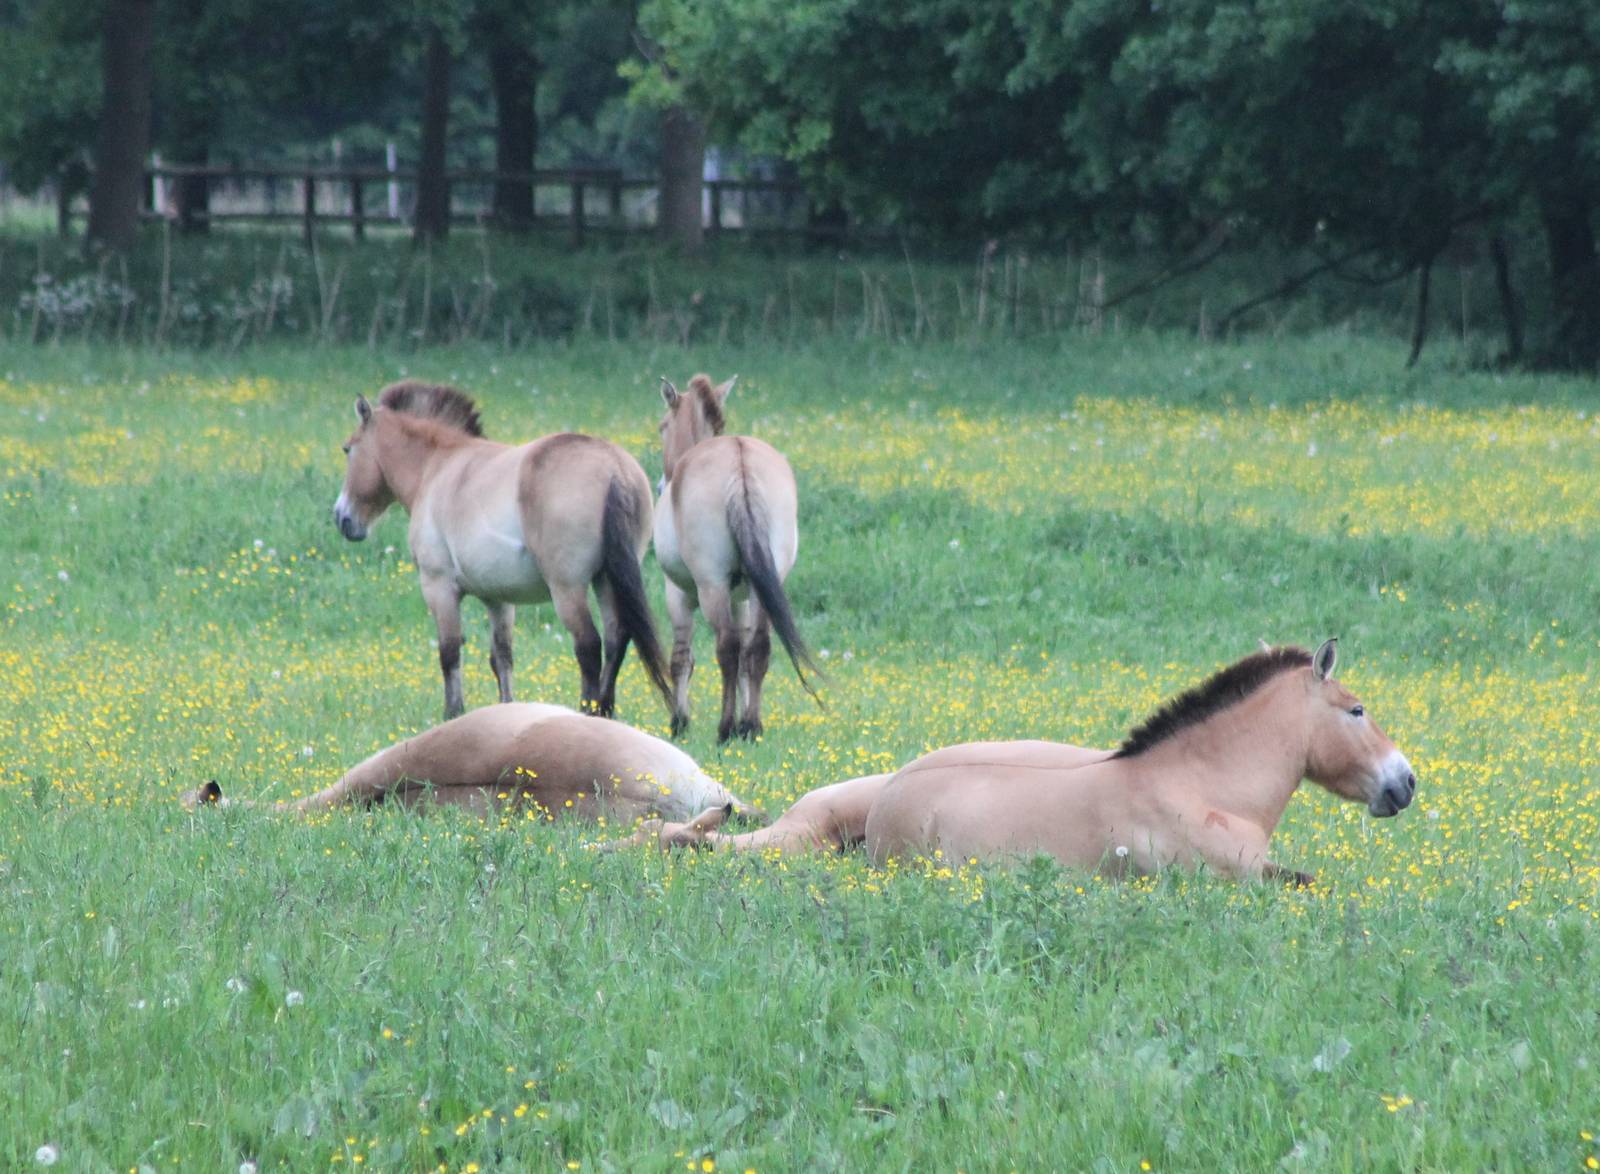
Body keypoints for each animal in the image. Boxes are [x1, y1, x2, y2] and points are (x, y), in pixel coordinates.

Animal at [332, 380, 671, 720]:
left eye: (348, 449)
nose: (342, 518)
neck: (437, 467)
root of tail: (614, 469)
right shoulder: (498, 598)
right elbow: (502, 659)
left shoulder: (438, 586)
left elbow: (449, 653)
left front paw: (452, 713)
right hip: (606, 580)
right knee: (616, 640)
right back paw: (605, 712)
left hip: (568, 588)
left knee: (589, 646)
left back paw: (587, 712)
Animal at [653, 373, 820, 741]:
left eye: (662, 427)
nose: (659, 485)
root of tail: (740, 460)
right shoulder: (741, 597)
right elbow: (747, 656)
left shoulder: (678, 595)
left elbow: (682, 659)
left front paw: (679, 722)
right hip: (762, 589)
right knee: (758, 648)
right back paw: (751, 726)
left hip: (711, 587)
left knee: (727, 648)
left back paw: (726, 728)